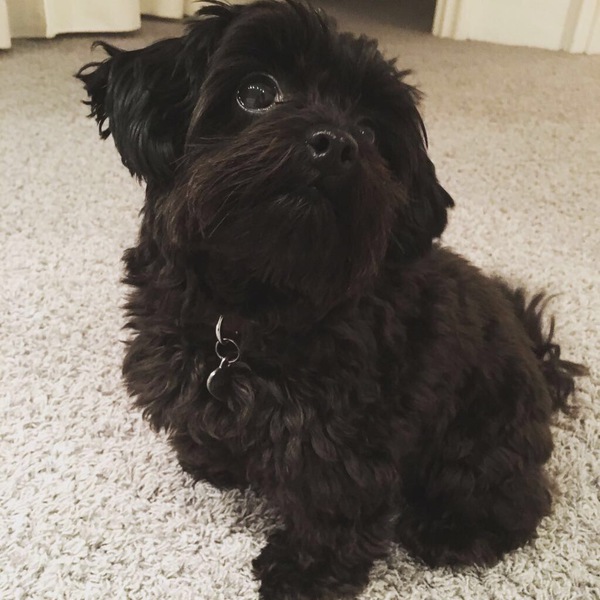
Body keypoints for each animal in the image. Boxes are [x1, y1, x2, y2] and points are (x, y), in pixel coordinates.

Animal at [77, 1, 587, 598]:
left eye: (369, 130)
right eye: (256, 91)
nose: (337, 143)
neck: (252, 302)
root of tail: (540, 362)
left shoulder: (342, 440)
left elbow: (332, 510)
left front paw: (304, 574)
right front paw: (213, 460)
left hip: (478, 441)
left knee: (517, 501)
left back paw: (451, 530)